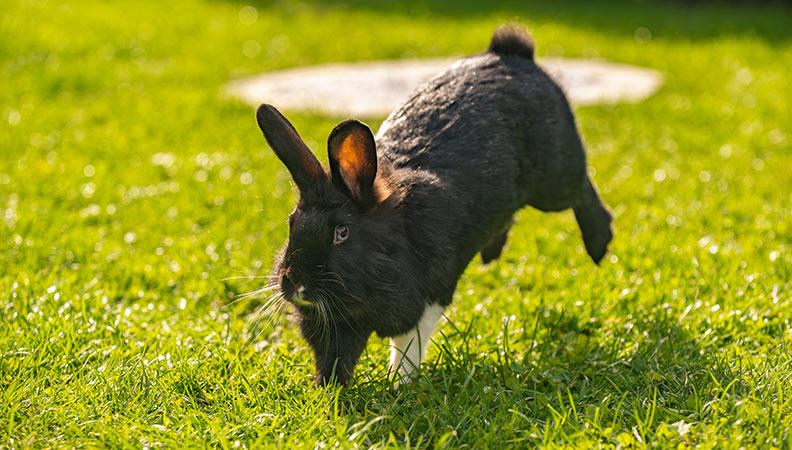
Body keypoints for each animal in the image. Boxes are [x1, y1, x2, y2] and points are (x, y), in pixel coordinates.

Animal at [255, 25, 613, 386]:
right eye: (292, 223)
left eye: (341, 232)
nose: (295, 283)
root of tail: (510, 52)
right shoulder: (334, 329)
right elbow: (334, 360)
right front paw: (328, 390)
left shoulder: (425, 299)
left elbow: (408, 346)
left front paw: (399, 383)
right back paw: (491, 253)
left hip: (553, 179)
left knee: (582, 189)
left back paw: (598, 244)